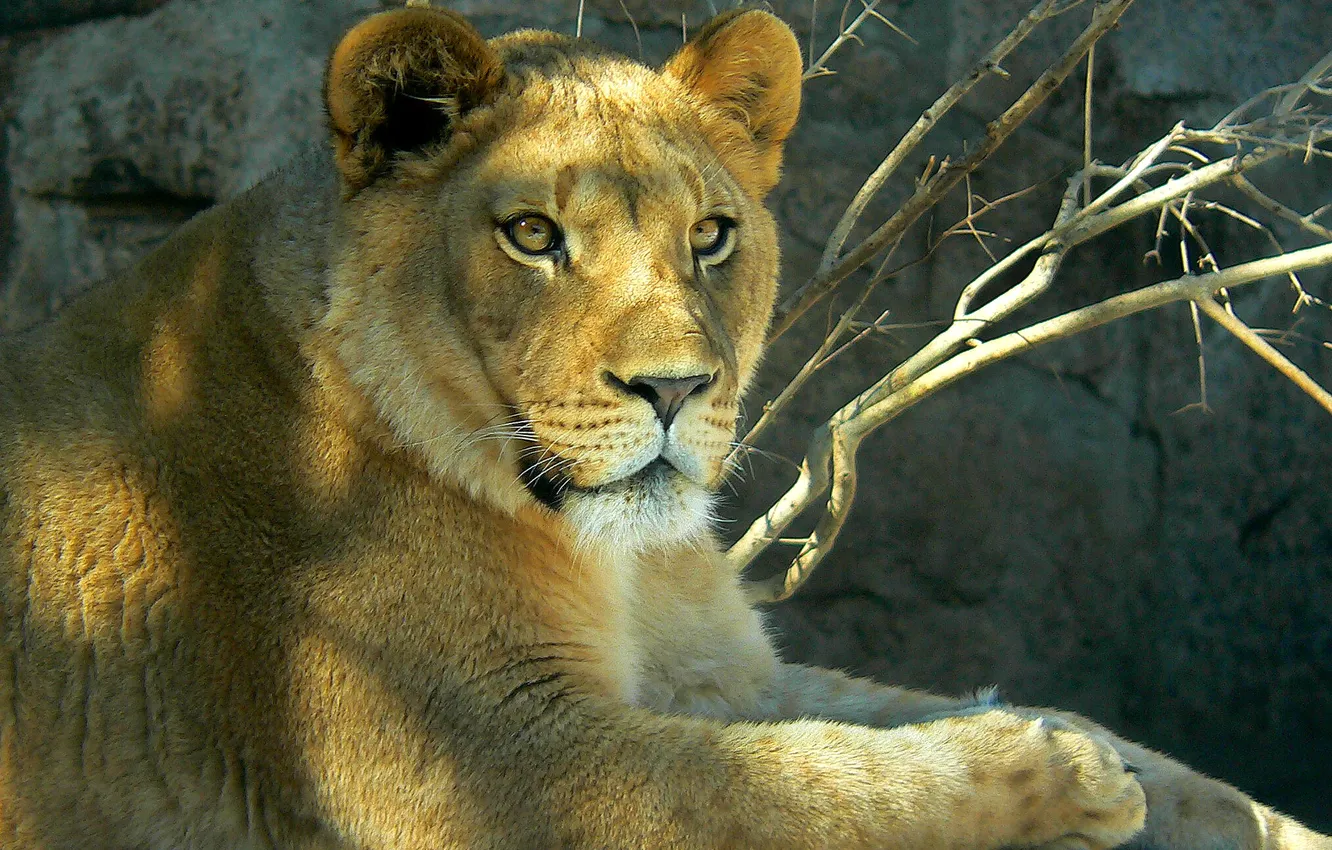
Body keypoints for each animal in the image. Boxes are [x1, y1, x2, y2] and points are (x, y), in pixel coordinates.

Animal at [0, 6, 1325, 848]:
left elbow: (887, 721)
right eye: (534, 235)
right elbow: (810, 788)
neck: (619, 560)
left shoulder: (720, 670)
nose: (679, 389)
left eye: (711, 235)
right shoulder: (488, 763)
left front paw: (1213, 797)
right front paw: (1055, 771)